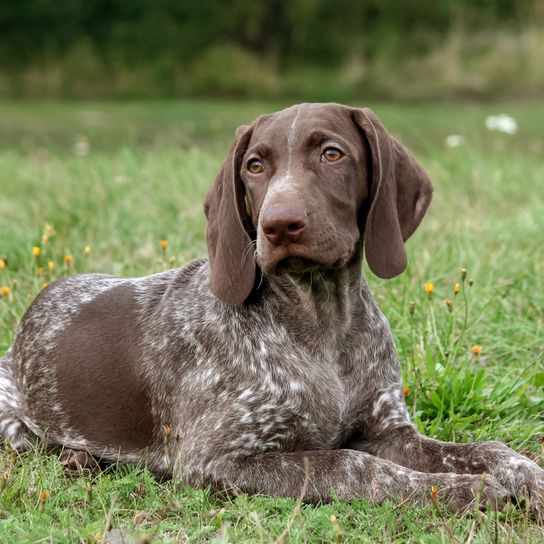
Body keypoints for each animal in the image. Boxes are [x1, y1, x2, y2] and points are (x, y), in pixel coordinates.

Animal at [0, 103, 540, 516]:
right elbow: (351, 464)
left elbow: (482, 449)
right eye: (255, 166)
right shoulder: (217, 458)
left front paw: (524, 473)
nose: (279, 225)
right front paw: (463, 490)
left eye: (331, 153)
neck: (322, 324)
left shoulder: (389, 430)